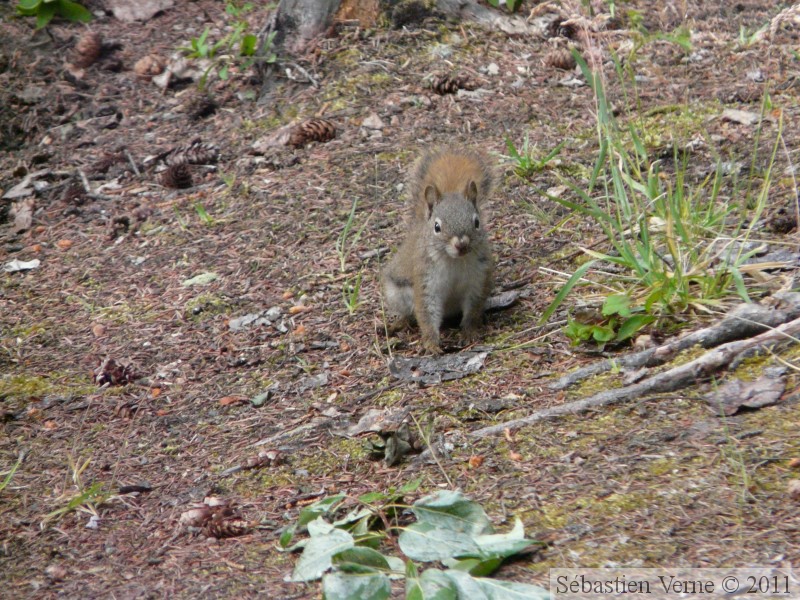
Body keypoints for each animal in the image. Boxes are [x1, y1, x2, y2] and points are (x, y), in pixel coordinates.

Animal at [382, 149, 494, 354]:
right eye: (437, 227)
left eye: (477, 222)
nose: (461, 244)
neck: (453, 260)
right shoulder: (426, 282)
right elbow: (426, 313)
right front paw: (431, 344)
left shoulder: (478, 279)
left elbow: (472, 310)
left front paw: (469, 332)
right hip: (397, 294)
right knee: (408, 313)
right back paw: (399, 324)